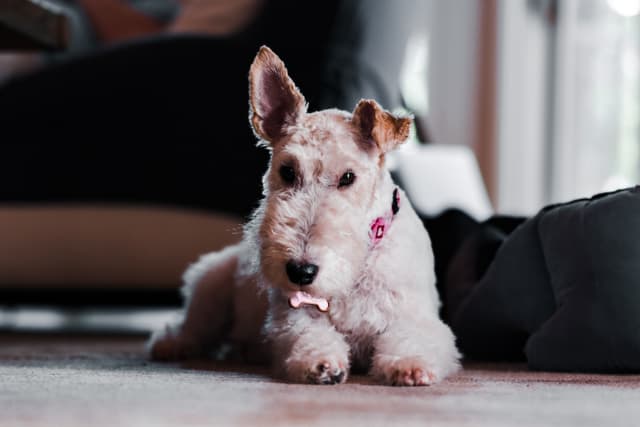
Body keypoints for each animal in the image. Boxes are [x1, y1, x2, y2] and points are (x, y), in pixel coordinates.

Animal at [149, 46, 460, 388]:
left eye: (348, 177)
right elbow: (310, 335)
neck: (357, 268)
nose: (301, 271)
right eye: (287, 171)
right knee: (190, 325)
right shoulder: (294, 315)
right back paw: (171, 344)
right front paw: (321, 363)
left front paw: (409, 365)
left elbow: (413, 338)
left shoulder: (415, 316)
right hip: (211, 285)